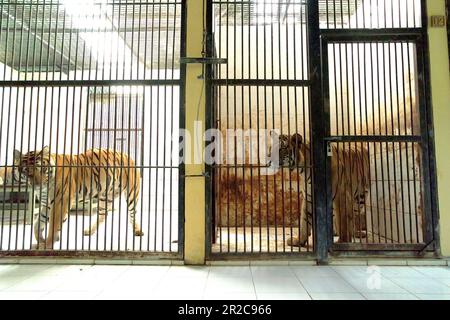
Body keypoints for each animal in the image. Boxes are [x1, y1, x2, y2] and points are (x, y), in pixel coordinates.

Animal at [12, 146, 142, 249]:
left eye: (43, 169)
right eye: (27, 171)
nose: (39, 185)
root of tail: (126, 154)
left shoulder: (60, 201)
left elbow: (53, 224)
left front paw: (47, 244)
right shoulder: (47, 203)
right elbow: (38, 223)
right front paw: (40, 240)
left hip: (131, 193)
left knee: (133, 213)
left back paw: (137, 231)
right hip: (106, 197)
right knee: (103, 215)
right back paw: (89, 231)